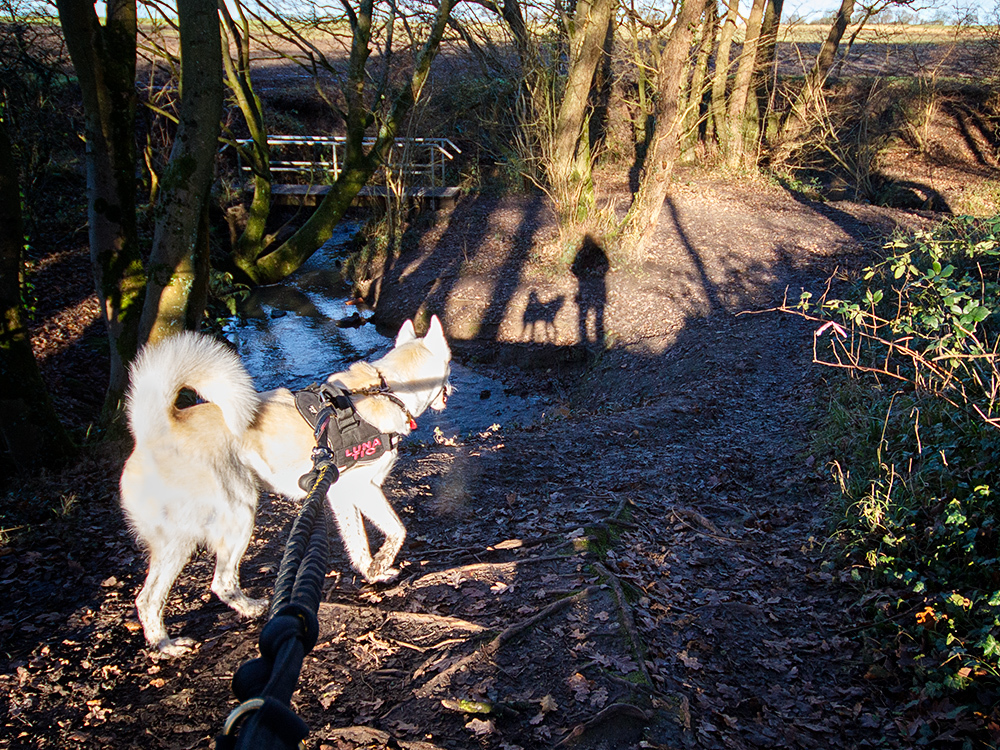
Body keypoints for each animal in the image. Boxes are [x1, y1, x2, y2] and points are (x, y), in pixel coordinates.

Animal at [121, 314, 454, 656]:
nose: (451, 388)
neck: (387, 390)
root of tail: (154, 431)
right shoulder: (362, 488)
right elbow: (398, 529)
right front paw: (381, 563)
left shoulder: (338, 493)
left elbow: (358, 542)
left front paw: (371, 571)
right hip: (235, 515)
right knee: (207, 585)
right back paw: (185, 637)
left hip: (183, 540)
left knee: (159, 596)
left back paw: (178, 638)